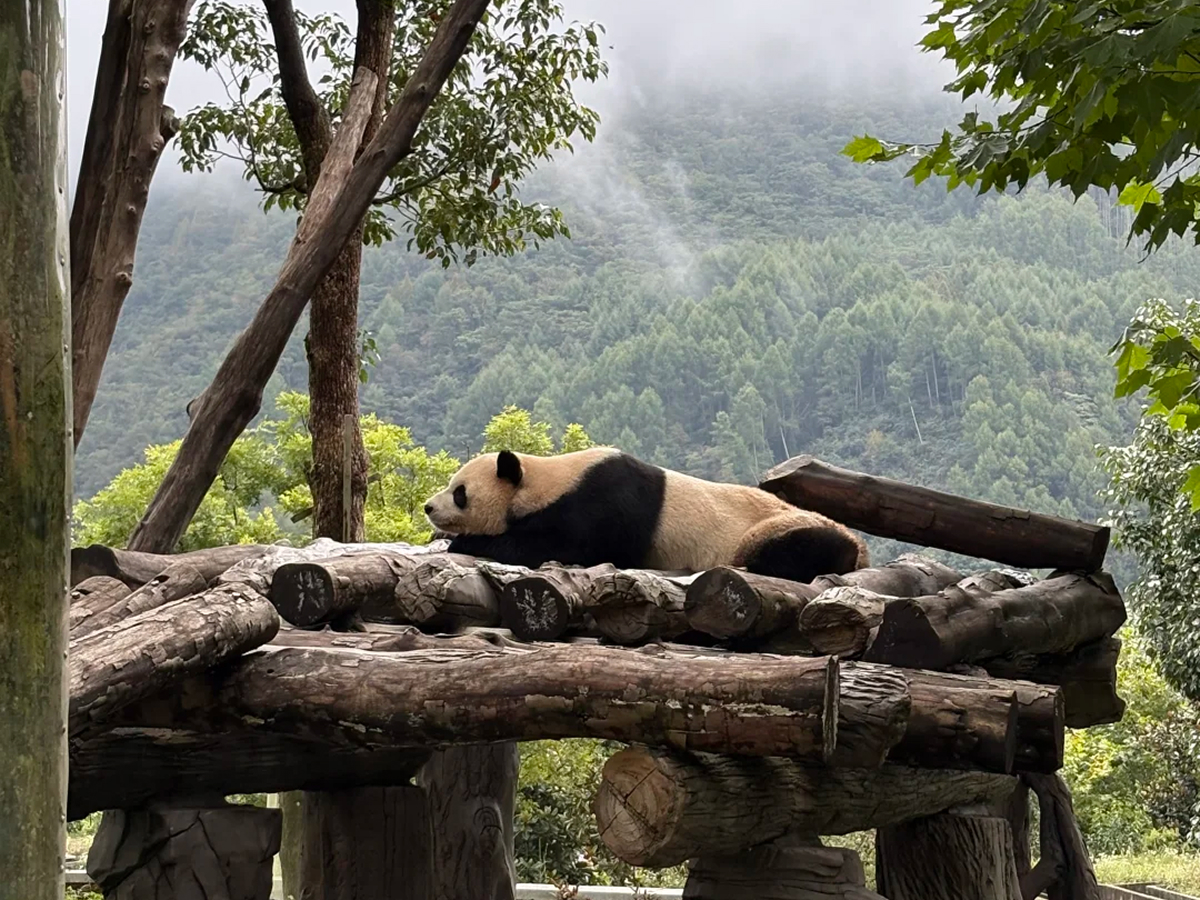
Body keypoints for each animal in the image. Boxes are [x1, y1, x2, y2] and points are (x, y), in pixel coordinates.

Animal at [423, 447, 868, 583]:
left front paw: (467, 541)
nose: (428, 507)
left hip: (782, 527)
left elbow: (571, 546)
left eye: (459, 493)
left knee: (789, 548)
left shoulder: (602, 503)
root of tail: (863, 553)